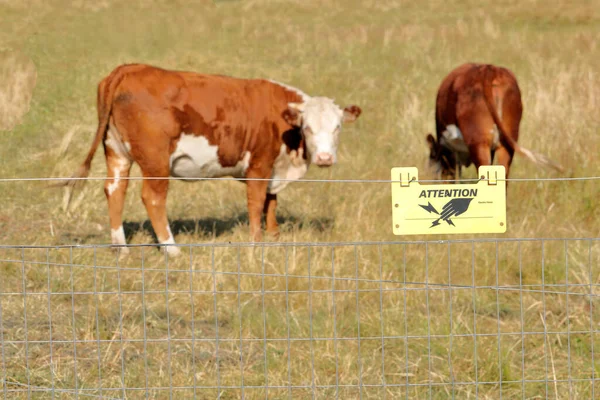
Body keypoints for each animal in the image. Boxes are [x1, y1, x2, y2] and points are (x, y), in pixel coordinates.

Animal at [59, 63, 360, 255]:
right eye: (307, 127)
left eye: (337, 127)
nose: (324, 157)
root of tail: (130, 68)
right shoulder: (259, 164)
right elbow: (256, 203)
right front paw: (256, 244)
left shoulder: (274, 169)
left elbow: (271, 202)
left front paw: (275, 238)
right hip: (156, 161)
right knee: (153, 198)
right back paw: (172, 250)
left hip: (117, 152)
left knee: (114, 190)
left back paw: (120, 248)